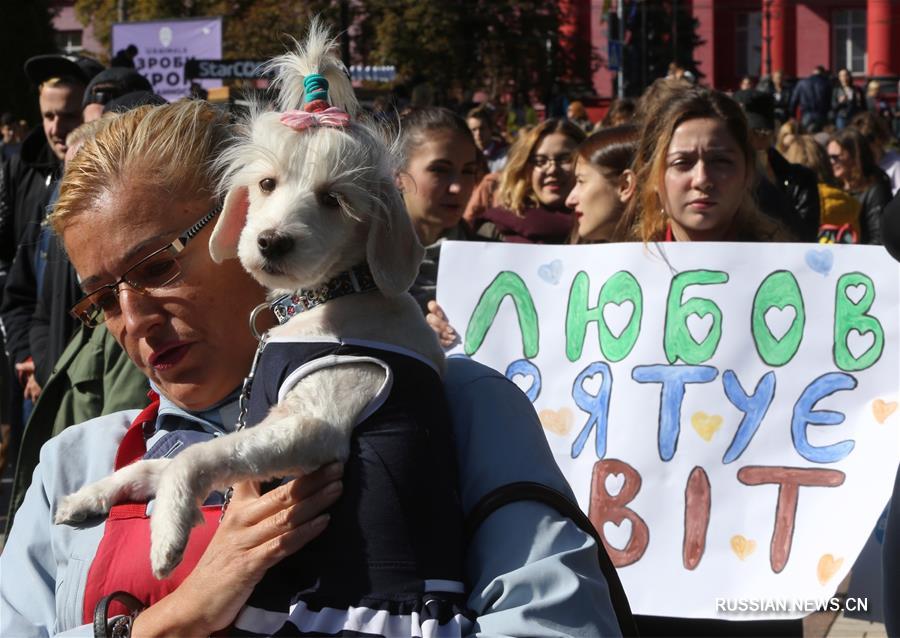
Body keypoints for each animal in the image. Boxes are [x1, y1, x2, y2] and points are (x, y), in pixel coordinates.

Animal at [55, 25, 450, 588]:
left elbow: (195, 455)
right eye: (266, 184)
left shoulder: (314, 426)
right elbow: (151, 465)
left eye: (334, 199)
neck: (327, 298)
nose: (271, 242)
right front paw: (89, 496)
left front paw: (168, 533)